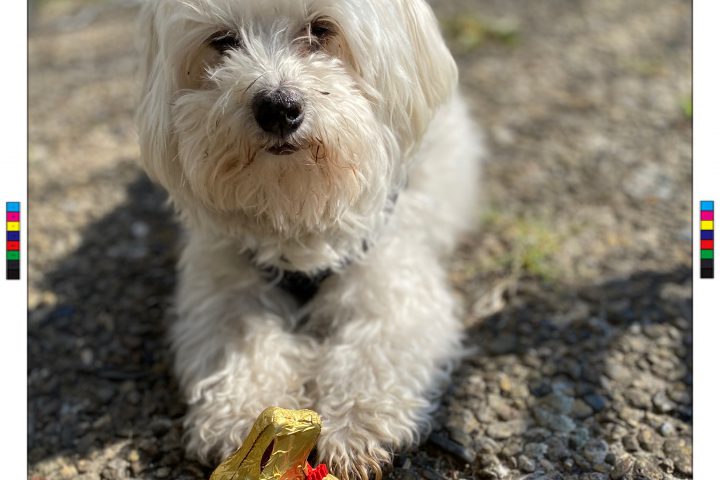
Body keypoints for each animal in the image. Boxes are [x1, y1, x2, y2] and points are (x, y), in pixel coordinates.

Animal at [135, 0, 484, 476]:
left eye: (321, 30)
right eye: (223, 41)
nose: (277, 107)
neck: (295, 210)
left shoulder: (393, 283)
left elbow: (376, 348)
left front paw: (357, 420)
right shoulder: (224, 285)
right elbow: (241, 342)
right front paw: (245, 418)